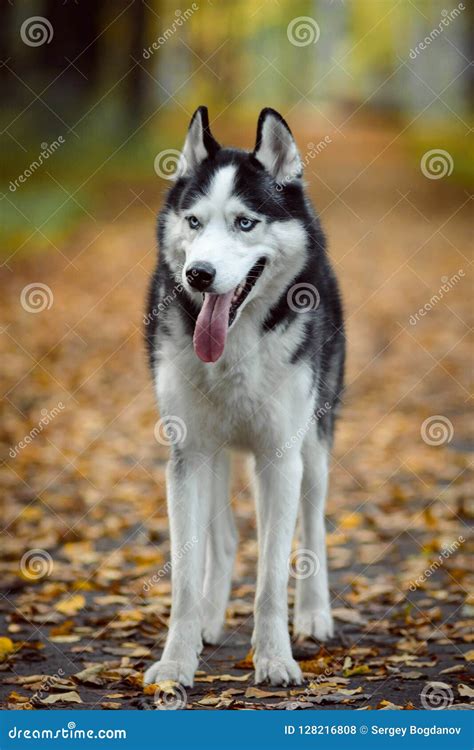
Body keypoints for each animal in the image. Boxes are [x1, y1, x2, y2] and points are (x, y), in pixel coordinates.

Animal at [143, 108, 344, 692]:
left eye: (245, 224)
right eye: (193, 222)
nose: (199, 274)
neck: (234, 345)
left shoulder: (280, 458)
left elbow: (271, 578)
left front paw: (275, 658)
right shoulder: (187, 457)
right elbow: (186, 577)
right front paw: (176, 661)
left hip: (313, 447)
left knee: (312, 525)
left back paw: (315, 614)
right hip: (214, 456)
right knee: (224, 539)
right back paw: (210, 621)